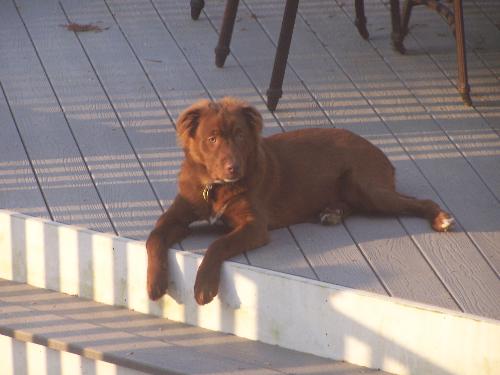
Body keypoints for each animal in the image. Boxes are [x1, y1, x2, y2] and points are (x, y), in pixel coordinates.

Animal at [146, 99, 456, 306]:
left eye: (240, 135)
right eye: (212, 138)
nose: (233, 167)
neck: (216, 188)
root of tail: (381, 152)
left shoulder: (255, 225)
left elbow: (218, 244)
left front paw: (204, 286)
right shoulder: (177, 215)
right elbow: (154, 237)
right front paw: (154, 282)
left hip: (369, 188)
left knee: (418, 201)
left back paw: (441, 218)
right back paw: (332, 212)